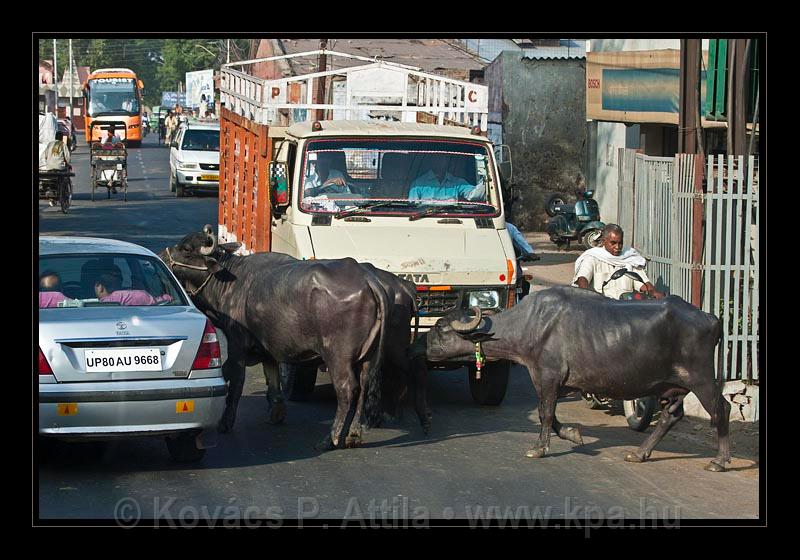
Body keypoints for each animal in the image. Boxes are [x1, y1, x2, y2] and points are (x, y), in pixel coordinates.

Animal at [160, 225, 390, 448]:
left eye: (186, 249)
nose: (162, 255)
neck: (230, 282)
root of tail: (367, 280)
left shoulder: (237, 343)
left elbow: (235, 378)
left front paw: (226, 421)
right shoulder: (268, 345)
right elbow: (271, 374)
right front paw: (277, 412)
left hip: (338, 357)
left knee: (348, 390)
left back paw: (330, 439)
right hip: (367, 358)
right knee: (364, 387)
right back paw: (353, 435)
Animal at [424, 286, 732, 470]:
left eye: (441, 328)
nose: (422, 347)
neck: (530, 325)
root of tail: (711, 318)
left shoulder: (547, 377)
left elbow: (546, 414)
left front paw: (539, 448)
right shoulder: (551, 383)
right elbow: (550, 416)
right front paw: (574, 434)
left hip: (701, 379)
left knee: (721, 408)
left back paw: (720, 460)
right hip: (672, 387)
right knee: (671, 416)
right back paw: (639, 453)